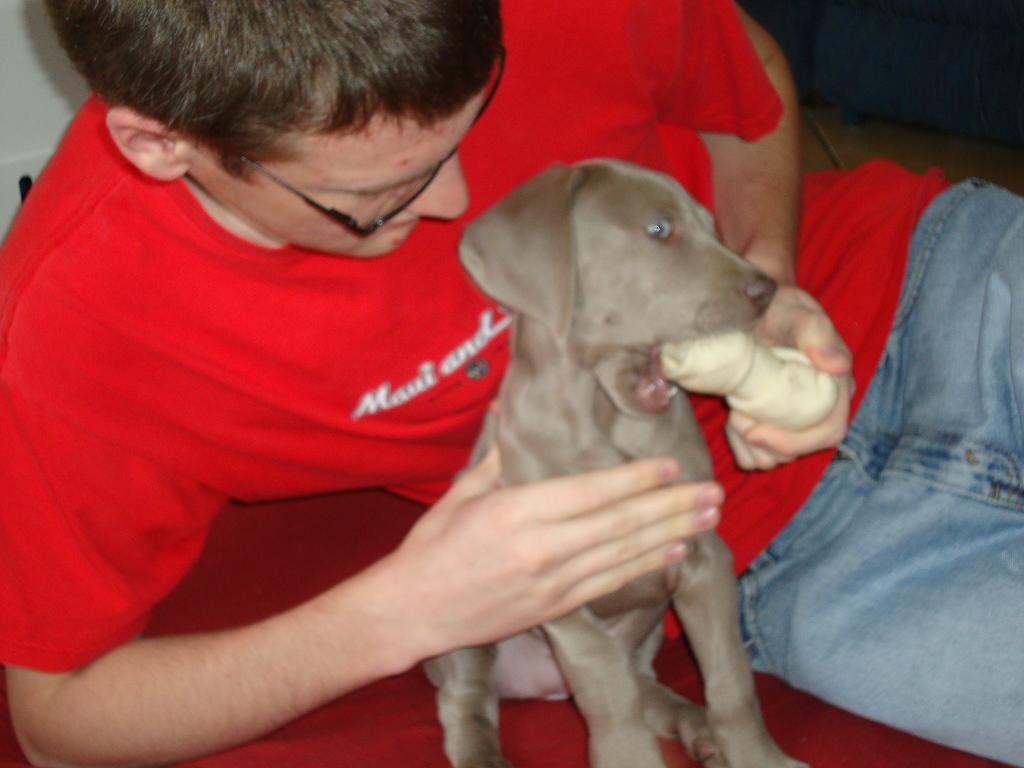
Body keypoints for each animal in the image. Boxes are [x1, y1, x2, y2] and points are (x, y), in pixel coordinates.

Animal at [425, 159, 807, 768]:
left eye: (712, 225)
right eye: (659, 229)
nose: (767, 290)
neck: (607, 424)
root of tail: (542, 688)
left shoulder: (705, 558)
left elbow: (730, 680)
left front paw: (757, 757)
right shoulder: (557, 583)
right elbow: (607, 689)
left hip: (647, 631)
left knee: (646, 683)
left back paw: (696, 727)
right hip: (465, 624)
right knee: (466, 699)